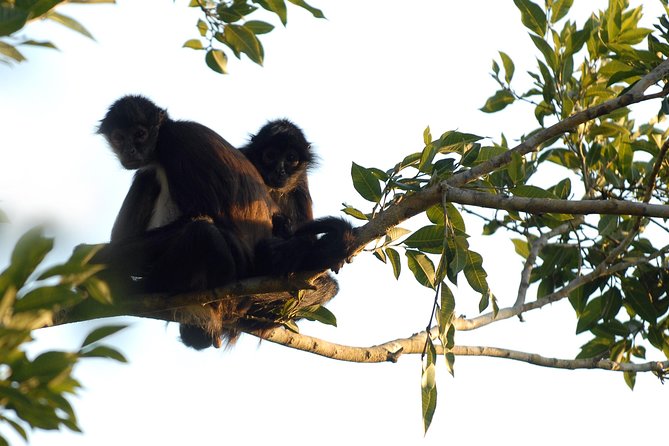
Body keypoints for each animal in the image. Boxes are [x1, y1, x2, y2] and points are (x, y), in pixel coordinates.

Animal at [94, 95, 354, 350]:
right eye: (119, 138)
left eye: (140, 134)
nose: (129, 150)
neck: (164, 135)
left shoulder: (178, 144)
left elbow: (202, 214)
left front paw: (102, 258)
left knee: (201, 231)